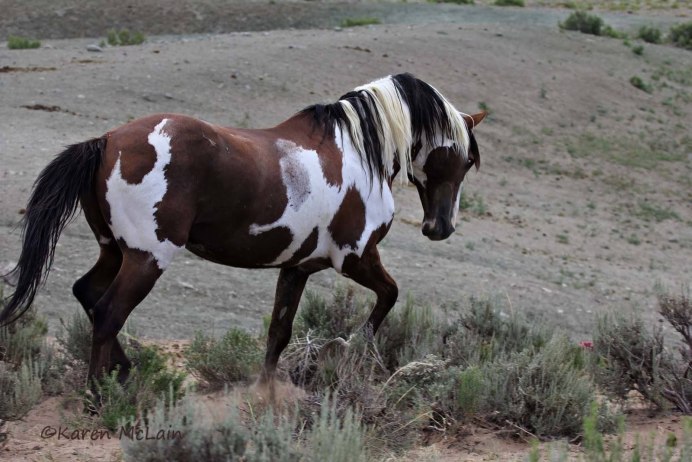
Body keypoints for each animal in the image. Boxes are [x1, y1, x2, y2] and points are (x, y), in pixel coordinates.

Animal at [0, 73, 486, 386]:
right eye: (463, 159)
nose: (440, 227)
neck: (357, 153)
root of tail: (106, 141)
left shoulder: (298, 267)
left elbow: (278, 333)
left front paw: (266, 392)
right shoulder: (355, 258)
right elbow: (389, 296)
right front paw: (348, 348)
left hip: (114, 250)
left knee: (87, 293)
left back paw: (124, 373)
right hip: (146, 259)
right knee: (107, 313)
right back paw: (98, 397)